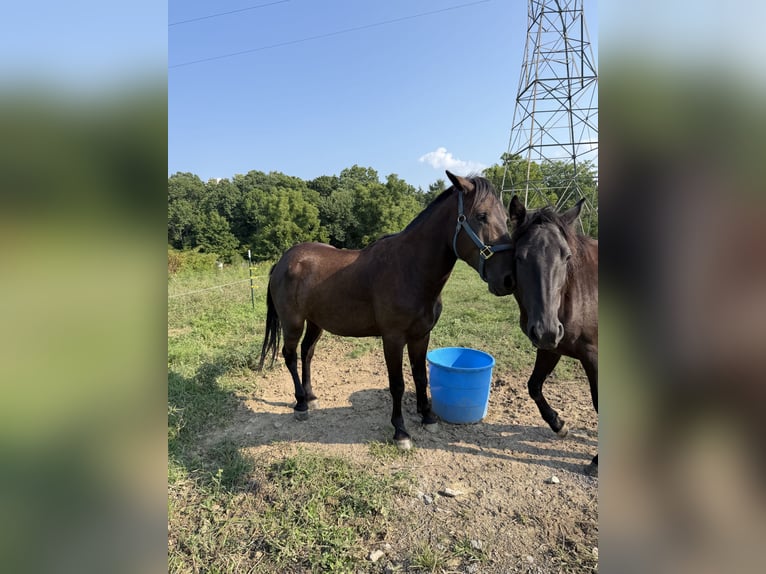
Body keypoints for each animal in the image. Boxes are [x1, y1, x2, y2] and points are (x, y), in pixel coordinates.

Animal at [257, 171, 515, 449]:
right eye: (481, 215)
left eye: (506, 218)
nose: (508, 278)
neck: (409, 270)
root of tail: (284, 260)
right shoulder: (393, 339)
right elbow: (397, 384)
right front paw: (400, 432)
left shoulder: (421, 336)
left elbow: (420, 377)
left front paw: (428, 418)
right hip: (292, 323)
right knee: (290, 355)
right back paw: (301, 404)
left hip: (316, 322)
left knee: (307, 352)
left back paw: (311, 396)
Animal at [507, 195, 599, 473]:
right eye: (520, 257)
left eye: (567, 257)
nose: (547, 329)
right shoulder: (550, 348)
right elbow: (534, 386)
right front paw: (559, 425)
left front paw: (596, 461)